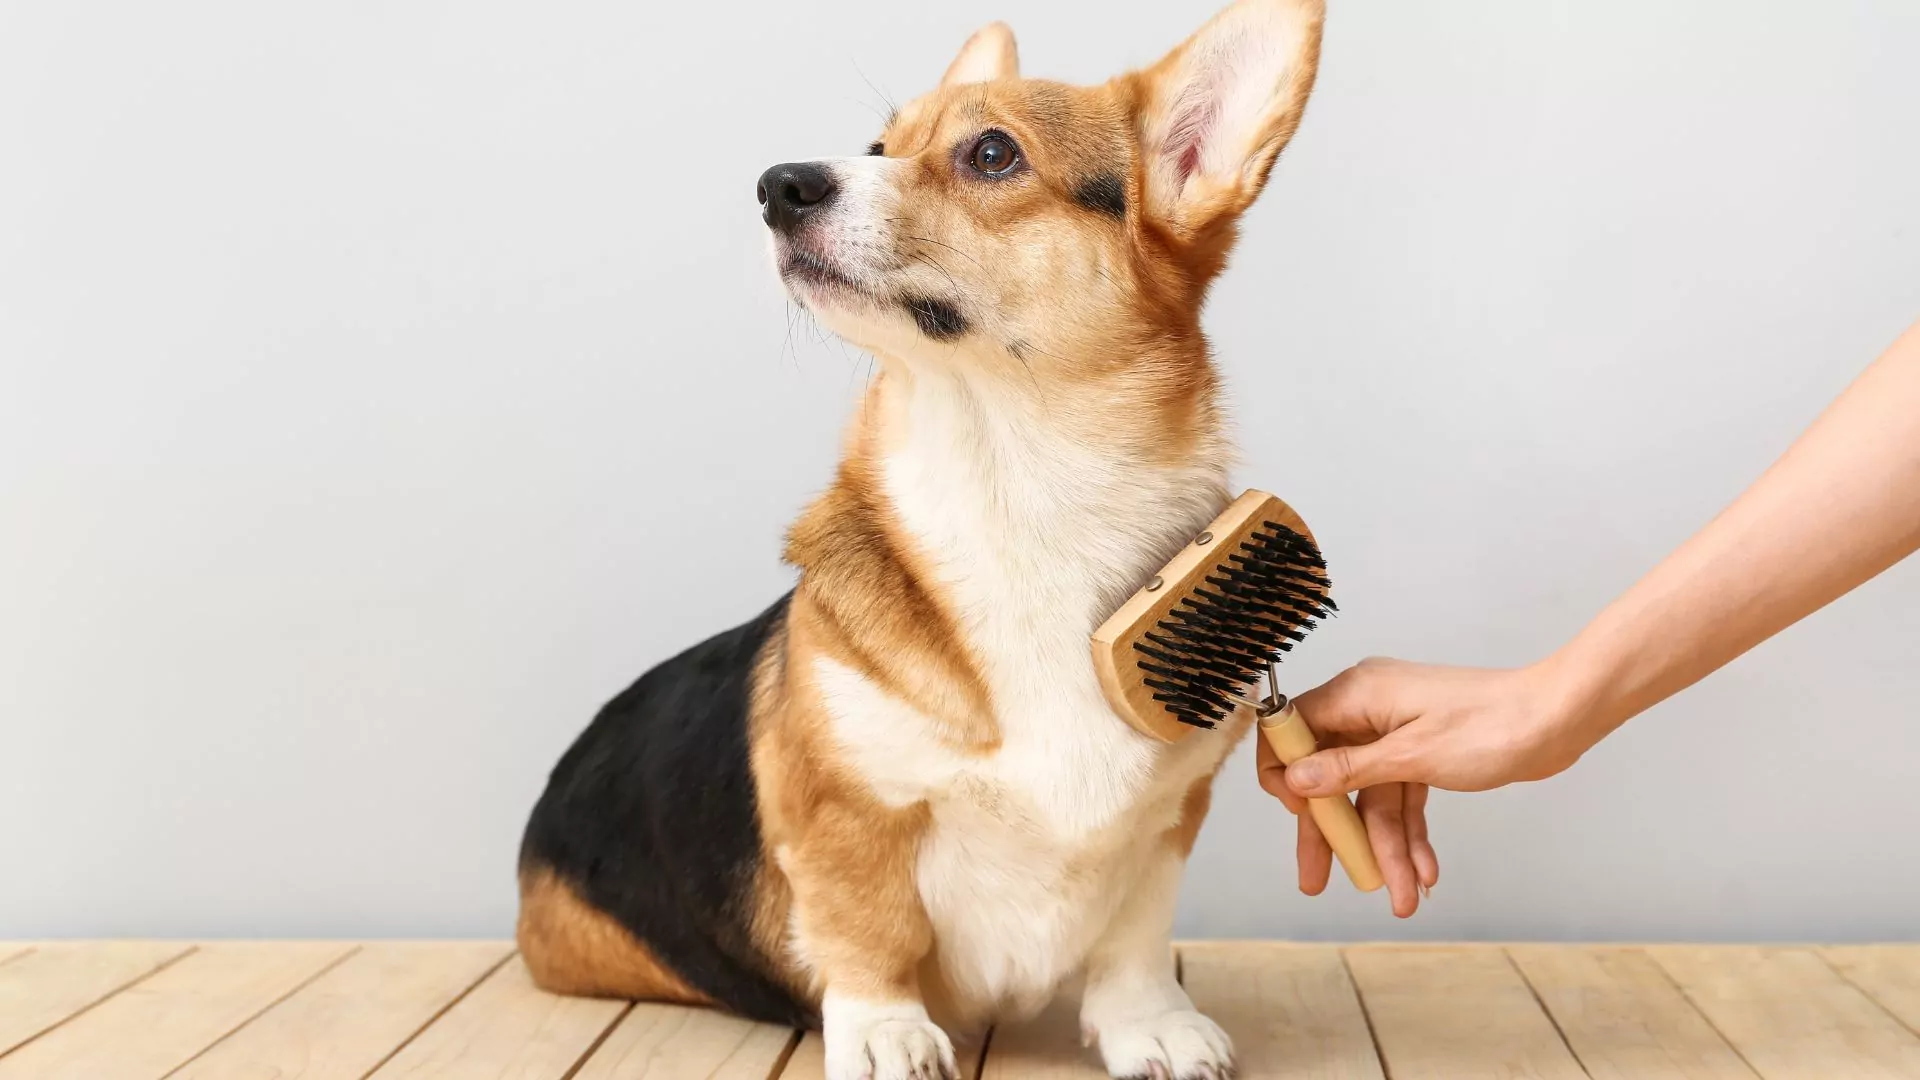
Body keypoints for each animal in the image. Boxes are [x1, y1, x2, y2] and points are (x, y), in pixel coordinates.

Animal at [518, 4, 1328, 1068]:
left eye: (991, 153)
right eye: (877, 148)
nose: (777, 184)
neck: (1017, 493)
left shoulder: (1166, 823)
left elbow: (1133, 941)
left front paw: (1151, 1027)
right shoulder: (841, 814)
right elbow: (869, 931)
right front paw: (886, 1036)